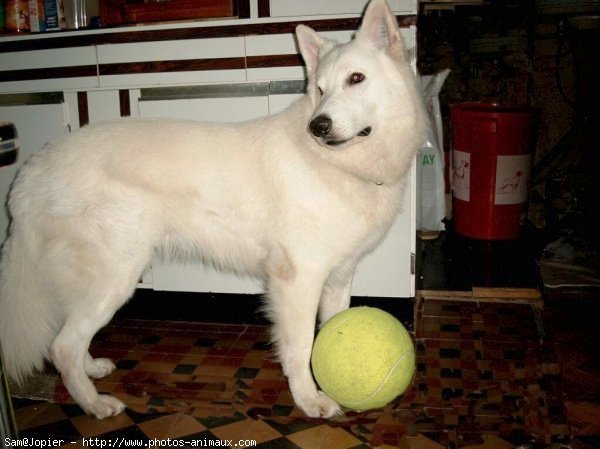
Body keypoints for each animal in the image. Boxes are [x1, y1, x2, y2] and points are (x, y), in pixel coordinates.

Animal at [0, 0, 424, 420]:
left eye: (356, 79)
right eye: (320, 90)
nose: (318, 126)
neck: (338, 164)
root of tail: (34, 170)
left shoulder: (338, 278)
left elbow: (330, 332)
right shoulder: (298, 280)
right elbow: (301, 346)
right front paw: (309, 400)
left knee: (68, 336)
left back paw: (92, 369)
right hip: (116, 276)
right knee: (62, 347)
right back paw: (95, 404)